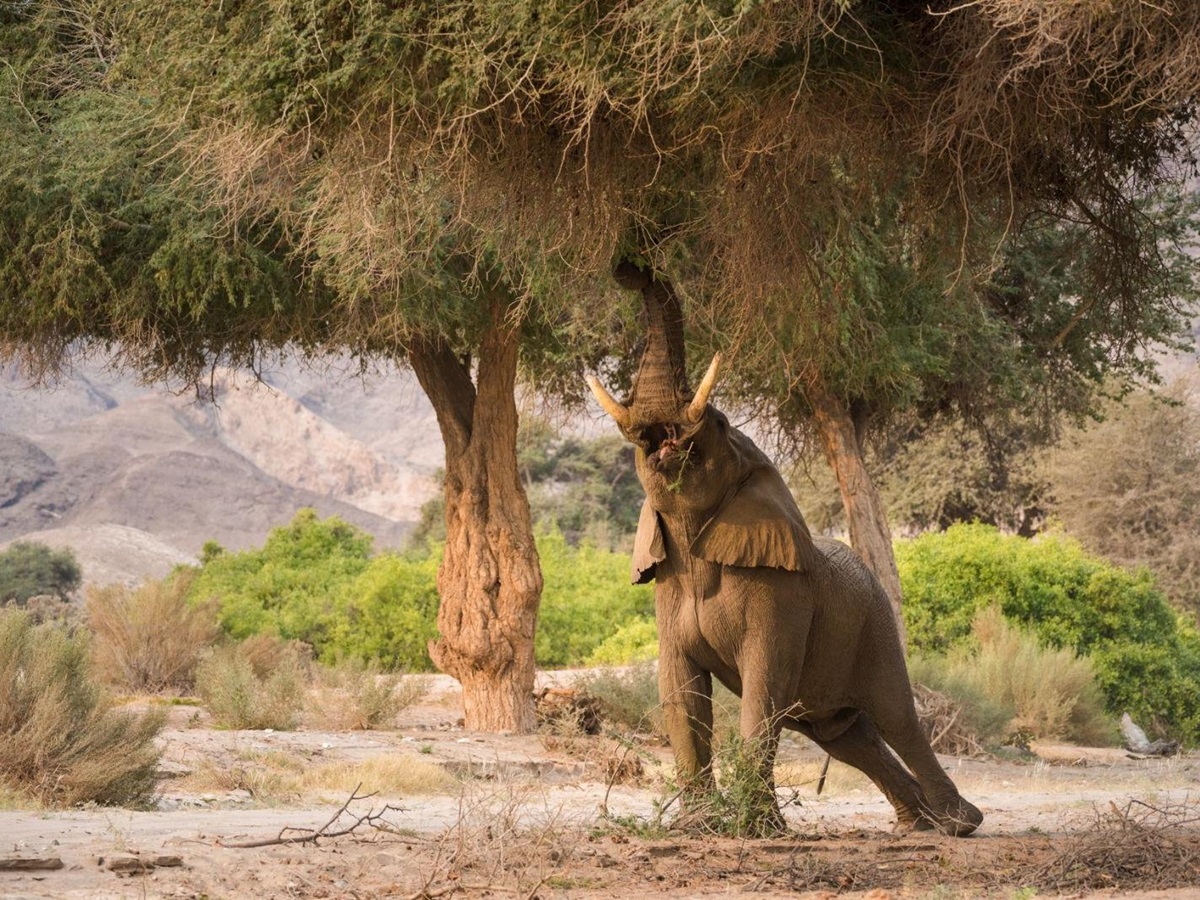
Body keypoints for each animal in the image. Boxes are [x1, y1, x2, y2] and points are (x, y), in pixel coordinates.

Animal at [586, 263, 982, 837]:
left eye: (720, 424)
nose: (629, 266)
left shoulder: (782, 594)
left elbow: (763, 687)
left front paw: (755, 831)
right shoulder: (668, 588)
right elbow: (682, 693)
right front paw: (699, 828)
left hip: (876, 624)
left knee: (896, 717)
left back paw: (958, 824)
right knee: (842, 733)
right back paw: (917, 824)